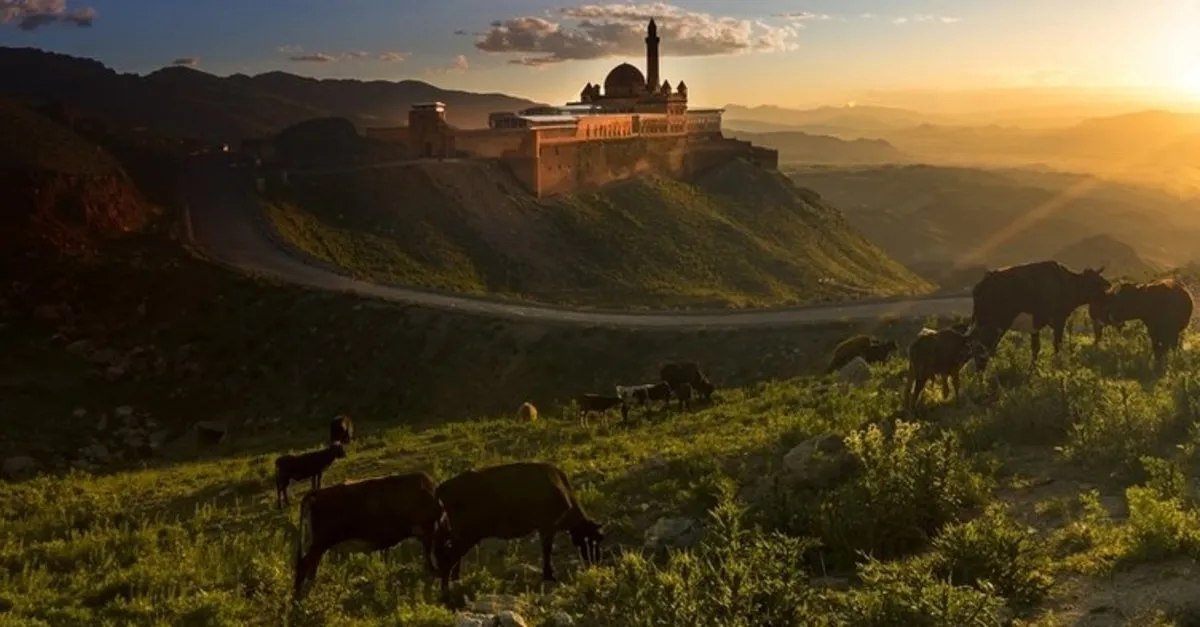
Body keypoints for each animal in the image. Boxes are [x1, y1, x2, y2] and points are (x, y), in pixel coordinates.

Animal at [292, 470, 448, 593]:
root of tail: (318, 493)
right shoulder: (427, 530)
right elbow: (429, 555)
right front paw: (433, 574)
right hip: (319, 543)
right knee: (304, 566)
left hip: (319, 546)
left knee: (310, 567)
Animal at [432, 458, 604, 600]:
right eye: (594, 540)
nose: (596, 560)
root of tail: (443, 488)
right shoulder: (547, 527)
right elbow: (547, 551)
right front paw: (549, 575)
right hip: (467, 534)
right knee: (448, 558)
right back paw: (446, 592)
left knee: (452, 558)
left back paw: (455, 581)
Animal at [964, 257, 1104, 365]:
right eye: (1097, 282)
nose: (1108, 285)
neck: (1068, 283)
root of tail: (983, 283)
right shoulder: (1059, 319)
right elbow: (1057, 344)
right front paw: (1057, 366)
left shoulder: (1035, 326)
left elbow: (1036, 348)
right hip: (993, 326)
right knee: (981, 351)